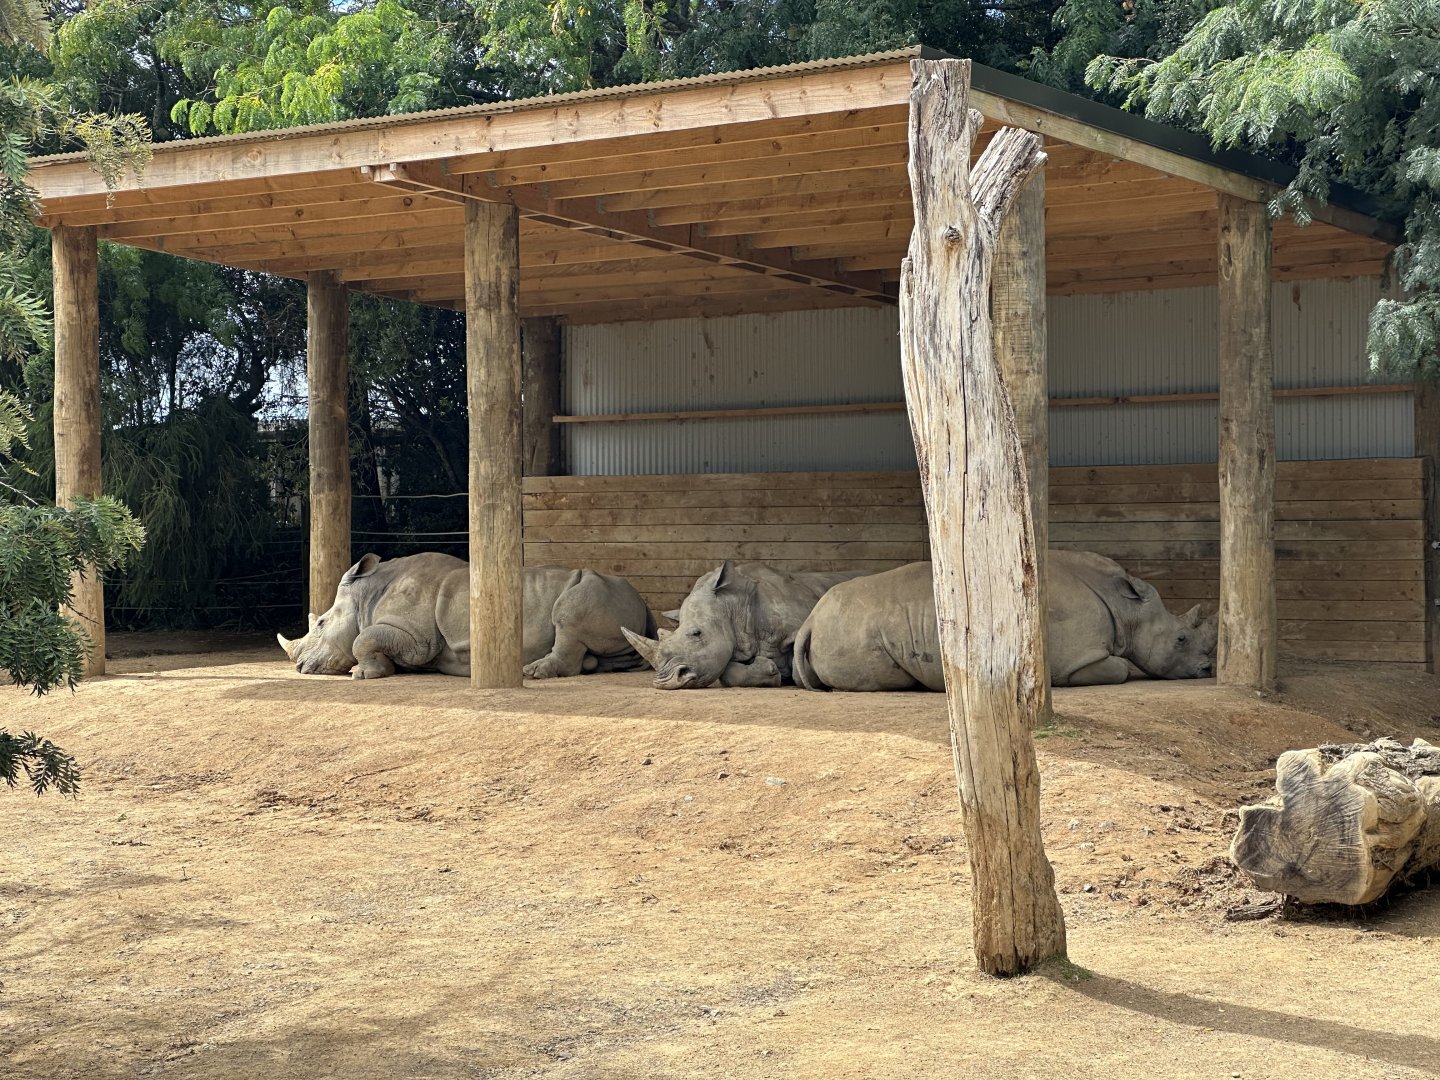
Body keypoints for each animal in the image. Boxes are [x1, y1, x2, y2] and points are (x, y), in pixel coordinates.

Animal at [277, 552, 657, 680]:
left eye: (321, 623)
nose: (300, 667)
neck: (366, 594)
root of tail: (643, 601)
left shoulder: (417, 638)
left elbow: (362, 638)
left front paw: (363, 674)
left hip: (595, 588)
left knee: (568, 615)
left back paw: (532, 673)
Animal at [621, 560, 868, 689]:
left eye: (696, 633)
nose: (665, 682)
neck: (732, 606)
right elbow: (728, 674)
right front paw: (771, 671)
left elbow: (800, 667)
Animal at [792, 552, 1216, 692]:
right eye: (1181, 638)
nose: (1206, 669)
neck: (1127, 609)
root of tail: (809, 620)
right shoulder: (1077, 661)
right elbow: (1120, 670)